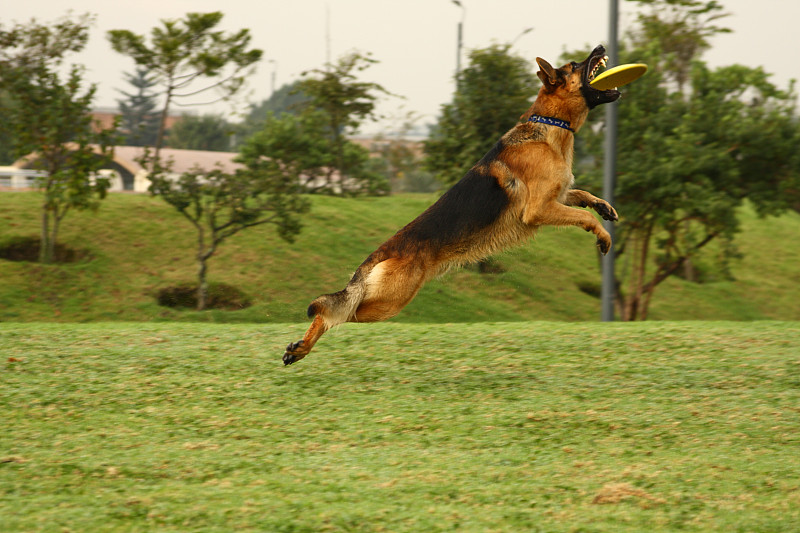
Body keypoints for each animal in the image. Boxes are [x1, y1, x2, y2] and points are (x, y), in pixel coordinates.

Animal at [284, 44, 620, 366]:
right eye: (575, 65)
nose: (601, 47)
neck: (550, 125)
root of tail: (379, 254)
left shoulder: (557, 198)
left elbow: (582, 196)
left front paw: (603, 206)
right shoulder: (539, 209)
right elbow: (585, 218)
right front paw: (603, 237)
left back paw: (299, 349)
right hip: (387, 303)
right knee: (332, 313)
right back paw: (300, 347)